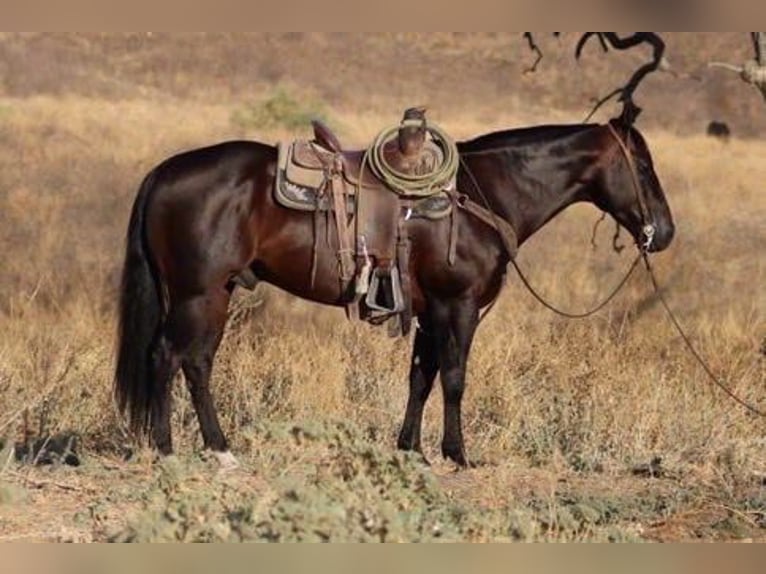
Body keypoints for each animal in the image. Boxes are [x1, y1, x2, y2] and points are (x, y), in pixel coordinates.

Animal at [114, 115, 674, 467]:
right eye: (644, 168)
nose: (664, 233)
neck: (485, 192)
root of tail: (164, 171)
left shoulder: (429, 313)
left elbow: (420, 378)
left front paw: (412, 450)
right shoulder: (457, 307)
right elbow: (454, 378)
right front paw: (457, 454)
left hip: (216, 294)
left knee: (196, 362)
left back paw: (219, 448)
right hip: (198, 294)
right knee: (167, 356)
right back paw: (167, 448)